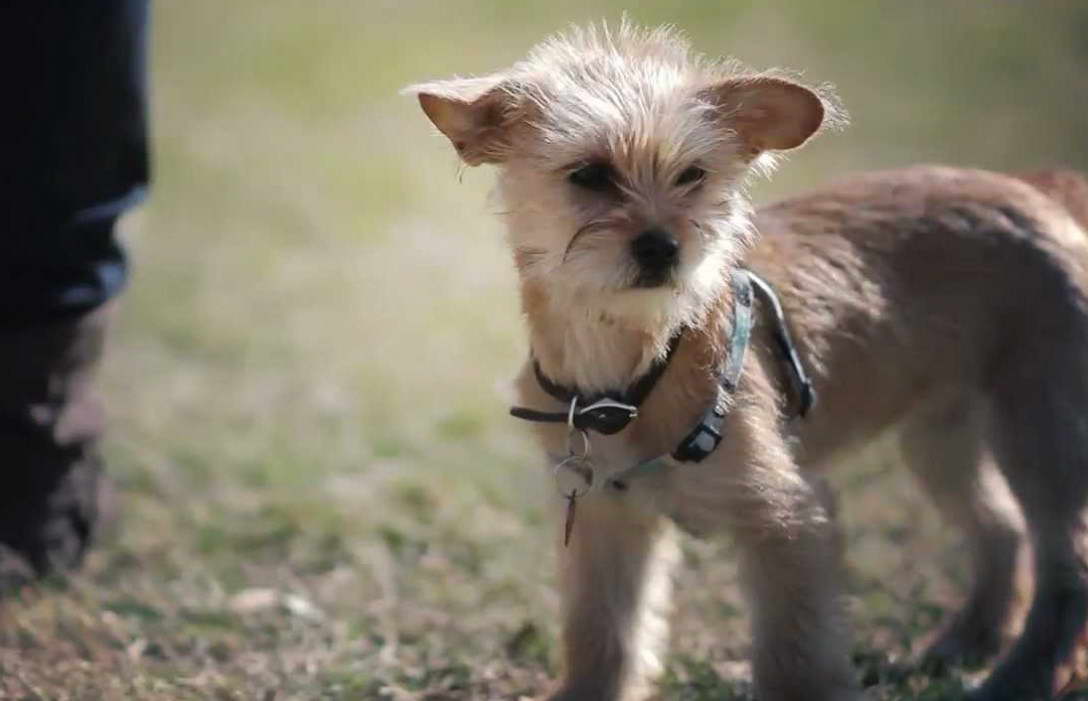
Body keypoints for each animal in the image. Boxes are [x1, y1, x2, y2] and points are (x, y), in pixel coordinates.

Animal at [404, 21, 1088, 701]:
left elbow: (794, 659)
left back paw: (1023, 674)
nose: (663, 247)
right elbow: (604, 635)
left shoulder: (786, 521)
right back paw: (968, 642)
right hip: (943, 437)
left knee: (1065, 562)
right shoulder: (607, 523)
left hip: (1041, 431)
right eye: (590, 175)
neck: (635, 367)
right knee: (1002, 529)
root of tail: (1037, 191)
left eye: (692, 175)